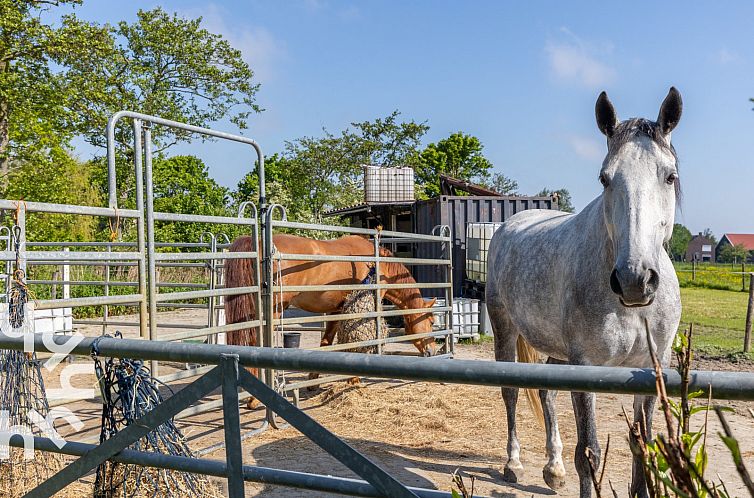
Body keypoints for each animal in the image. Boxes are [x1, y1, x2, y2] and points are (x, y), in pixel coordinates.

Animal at [220, 233, 438, 374]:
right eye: (432, 321)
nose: (433, 351)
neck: (377, 265)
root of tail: (258, 241)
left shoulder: (336, 309)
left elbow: (326, 341)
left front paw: (314, 377)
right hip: (272, 311)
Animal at [484, 87, 684, 496]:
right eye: (605, 179)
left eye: (670, 176)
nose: (634, 279)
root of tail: (509, 222)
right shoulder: (586, 366)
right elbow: (588, 454)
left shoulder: (651, 368)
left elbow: (643, 446)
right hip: (504, 328)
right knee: (510, 392)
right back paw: (514, 464)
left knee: (546, 392)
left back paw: (553, 468)